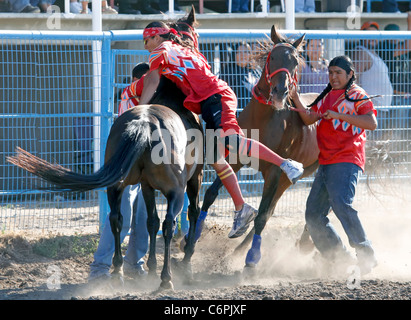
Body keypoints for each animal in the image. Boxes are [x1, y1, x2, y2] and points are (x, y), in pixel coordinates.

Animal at [7, 10, 204, 292]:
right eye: (192, 36)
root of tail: (144, 123)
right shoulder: (195, 177)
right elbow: (189, 214)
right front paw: (183, 263)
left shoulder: (146, 185)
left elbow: (149, 221)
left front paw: (149, 266)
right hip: (175, 188)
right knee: (168, 223)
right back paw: (166, 278)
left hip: (117, 185)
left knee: (117, 219)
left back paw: (119, 270)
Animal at [200, 26, 322, 272]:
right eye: (272, 57)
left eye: (295, 61)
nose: (279, 92)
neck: (265, 118)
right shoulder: (237, 156)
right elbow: (211, 193)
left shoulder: (274, 171)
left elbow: (262, 216)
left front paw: (252, 260)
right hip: (287, 179)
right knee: (274, 208)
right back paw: (237, 251)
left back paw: (304, 243)